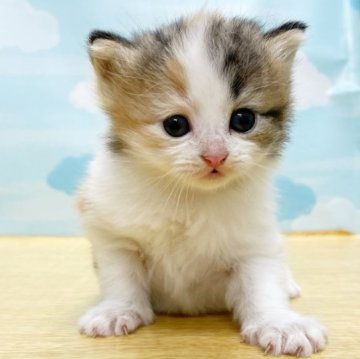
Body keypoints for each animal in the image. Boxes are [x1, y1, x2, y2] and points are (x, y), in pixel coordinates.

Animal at [77, 11, 328, 358]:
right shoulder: (113, 234)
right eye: (175, 125)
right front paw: (118, 310)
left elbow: (262, 283)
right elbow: (120, 275)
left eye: (243, 120)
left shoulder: (255, 241)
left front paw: (279, 323)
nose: (215, 156)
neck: (189, 196)